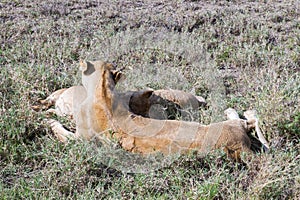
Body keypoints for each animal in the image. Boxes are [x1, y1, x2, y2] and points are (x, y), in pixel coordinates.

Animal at [44, 59, 270, 161]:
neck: (103, 91)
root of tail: (243, 147)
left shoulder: (82, 138)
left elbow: (63, 134)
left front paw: (50, 122)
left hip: (227, 126)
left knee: (245, 119)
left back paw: (236, 110)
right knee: (251, 123)